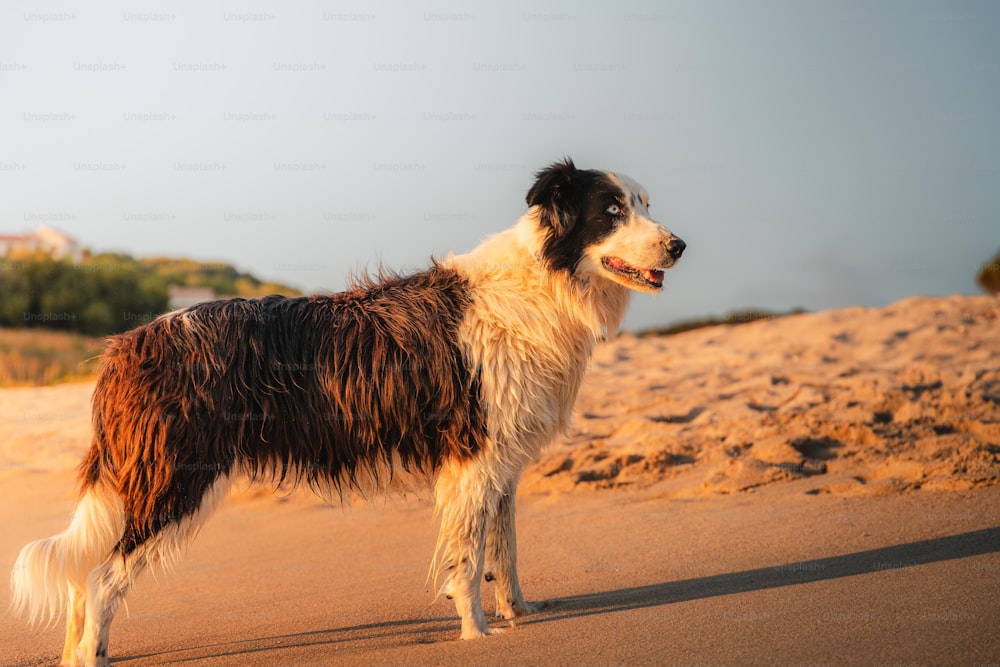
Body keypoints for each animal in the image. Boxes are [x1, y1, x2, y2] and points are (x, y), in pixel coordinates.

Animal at [9, 158, 680, 667]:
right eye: (611, 211)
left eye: (644, 203)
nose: (678, 245)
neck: (544, 283)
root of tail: (126, 346)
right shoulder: (473, 459)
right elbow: (467, 562)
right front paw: (477, 636)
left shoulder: (502, 463)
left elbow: (504, 553)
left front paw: (519, 615)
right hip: (174, 479)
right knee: (101, 579)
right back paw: (93, 654)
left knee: (83, 578)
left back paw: (76, 656)